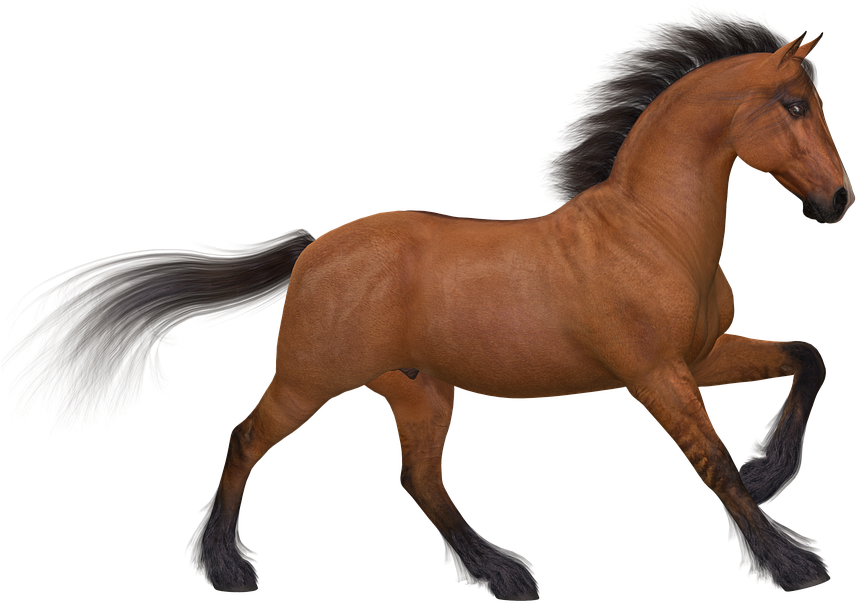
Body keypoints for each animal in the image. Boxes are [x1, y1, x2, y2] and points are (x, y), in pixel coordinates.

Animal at [2, 7, 852, 599]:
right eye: (793, 105)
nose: (840, 200)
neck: (653, 231)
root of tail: (314, 249)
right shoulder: (655, 372)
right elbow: (712, 460)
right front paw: (790, 558)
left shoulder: (701, 355)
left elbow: (807, 359)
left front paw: (773, 469)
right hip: (310, 379)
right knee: (246, 440)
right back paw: (226, 567)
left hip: (420, 391)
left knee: (422, 481)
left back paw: (503, 572)